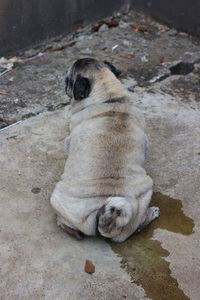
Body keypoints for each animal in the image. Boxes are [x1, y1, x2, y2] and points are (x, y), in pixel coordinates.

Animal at [50, 57, 159, 243]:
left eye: (68, 80)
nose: (64, 82)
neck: (110, 97)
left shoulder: (69, 138)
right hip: (141, 202)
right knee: (138, 224)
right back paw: (151, 214)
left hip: (58, 201)